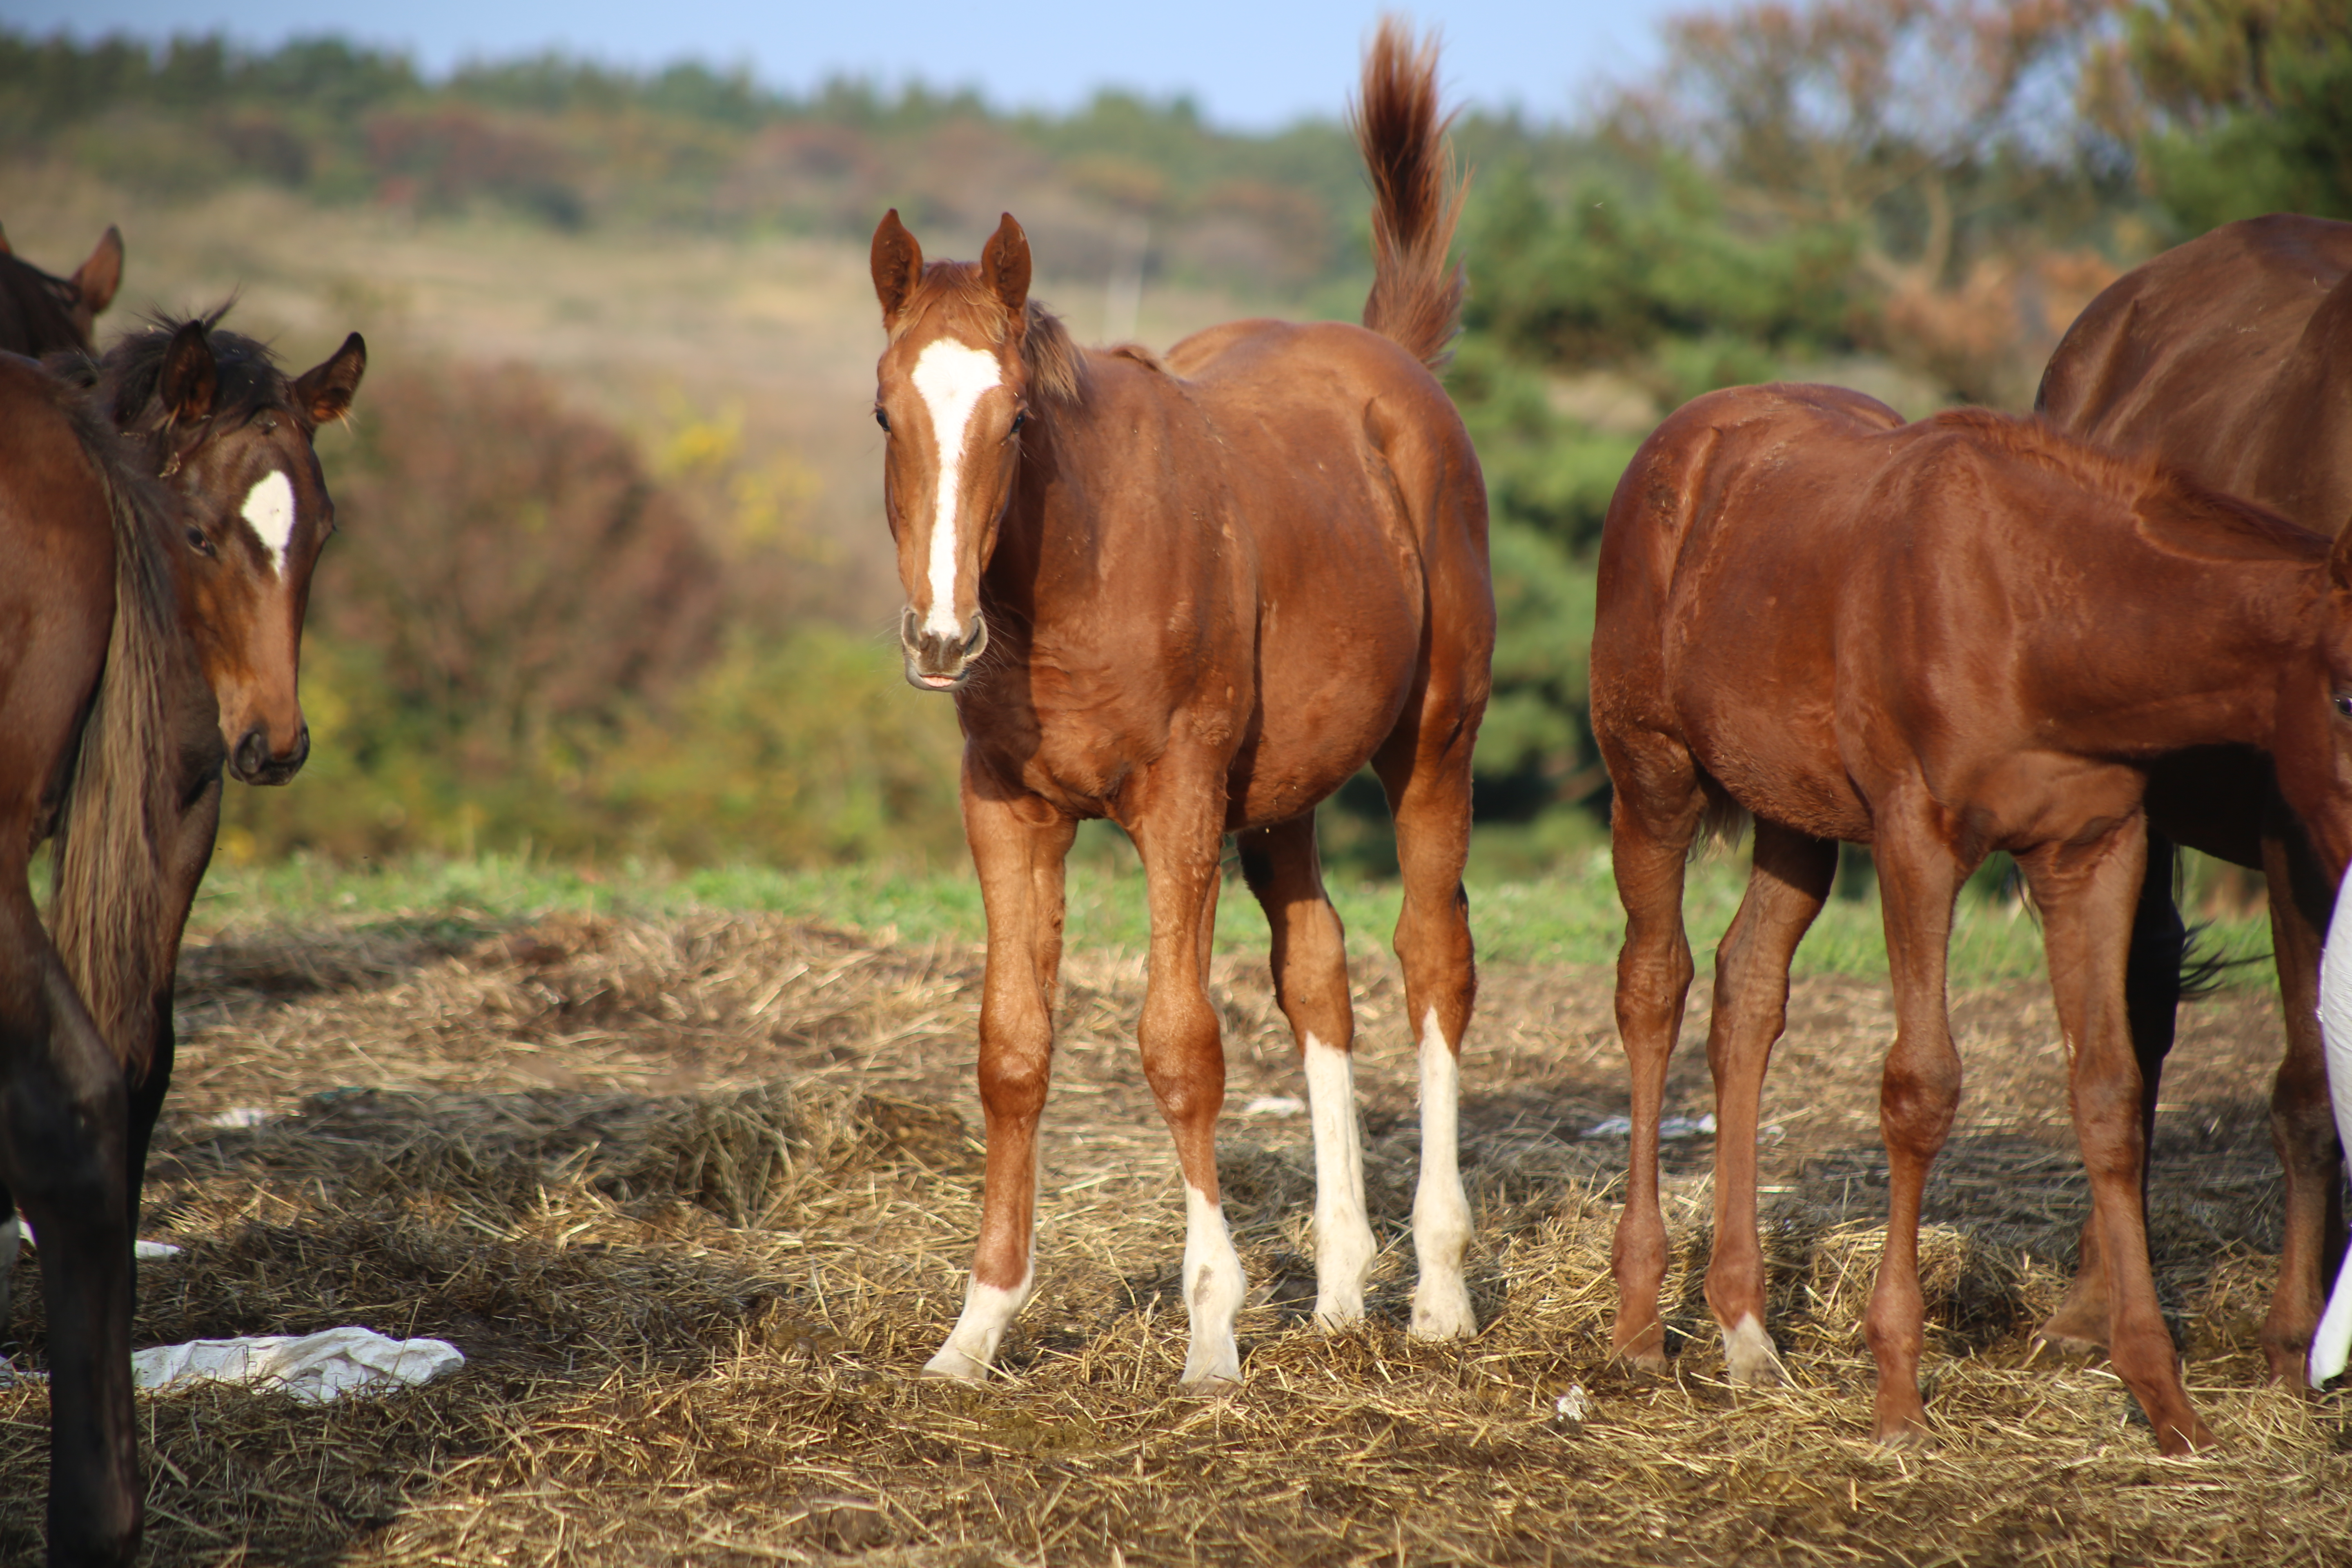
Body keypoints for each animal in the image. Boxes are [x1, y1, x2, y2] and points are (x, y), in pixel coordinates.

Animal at [865, 18, 1486, 1382]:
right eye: (885, 413)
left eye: (1016, 418)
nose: (941, 637)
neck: (1073, 580)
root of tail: (1394, 366)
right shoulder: (1009, 811)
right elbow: (1012, 1050)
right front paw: (976, 1327)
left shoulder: (1181, 804)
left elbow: (1181, 1044)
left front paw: (1211, 1329)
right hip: (1286, 795)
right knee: (1319, 972)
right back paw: (1344, 1287)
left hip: (1433, 750)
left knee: (1433, 964)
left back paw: (1440, 1291)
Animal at [1590, 383, 2352, 1457]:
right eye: (2346, 695)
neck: (2036, 613)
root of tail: (1684, 435)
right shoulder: (1917, 840)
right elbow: (1922, 1088)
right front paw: (1897, 1393)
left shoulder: (2095, 848)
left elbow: (2111, 1092)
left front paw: (2162, 1395)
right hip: (1650, 777)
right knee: (1654, 986)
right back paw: (1635, 1330)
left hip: (1793, 816)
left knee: (1746, 994)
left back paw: (1744, 1330)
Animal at [2032, 215, 2352, 1382]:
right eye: (2344, 696)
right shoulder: (2295, 833)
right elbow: (2307, 1086)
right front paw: (2292, 1332)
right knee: (2133, 1008)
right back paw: (2092, 1302)